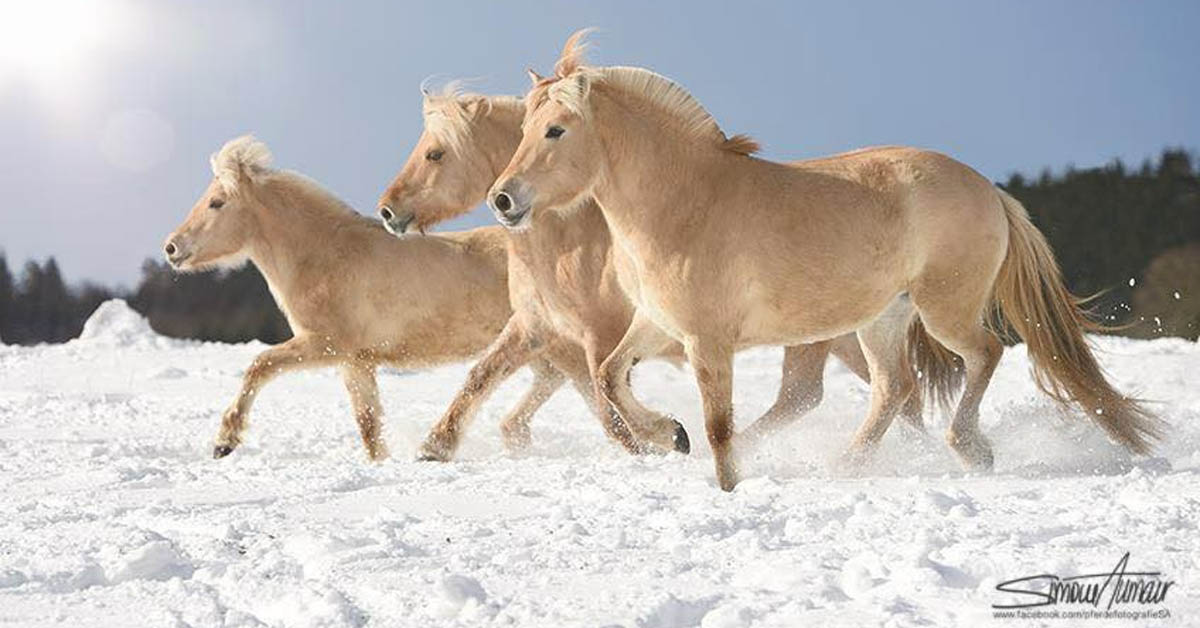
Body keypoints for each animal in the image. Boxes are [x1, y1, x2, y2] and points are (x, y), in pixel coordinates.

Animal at [164, 136, 561, 461]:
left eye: (216, 203)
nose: (171, 247)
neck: (323, 255)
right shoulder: (356, 361)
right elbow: (368, 423)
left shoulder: (324, 345)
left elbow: (260, 364)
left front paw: (224, 442)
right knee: (548, 379)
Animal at [374, 83, 955, 461]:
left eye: (435, 153)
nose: (387, 211)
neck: (572, 237)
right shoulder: (538, 329)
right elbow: (484, 375)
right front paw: (435, 445)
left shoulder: (597, 335)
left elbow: (605, 405)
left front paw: (664, 439)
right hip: (845, 332)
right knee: (883, 391)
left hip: (823, 335)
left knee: (828, 394)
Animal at [487, 30, 1161, 492]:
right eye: (523, 128)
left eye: (555, 130)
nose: (503, 199)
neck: (683, 203)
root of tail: (990, 190)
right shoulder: (656, 325)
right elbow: (610, 378)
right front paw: (669, 437)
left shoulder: (708, 342)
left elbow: (718, 425)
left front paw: (726, 483)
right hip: (883, 319)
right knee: (894, 389)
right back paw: (848, 465)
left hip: (943, 309)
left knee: (984, 354)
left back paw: (969, 448)